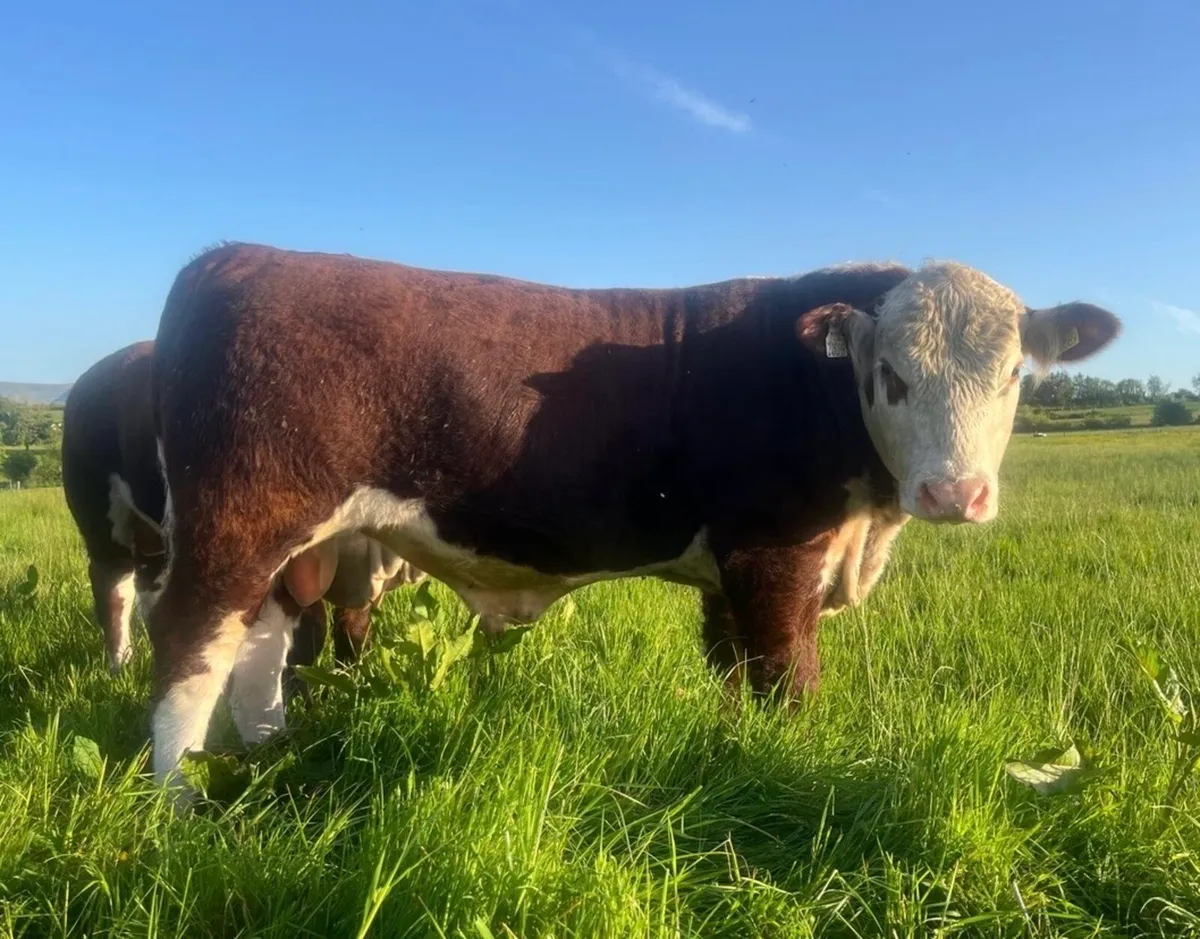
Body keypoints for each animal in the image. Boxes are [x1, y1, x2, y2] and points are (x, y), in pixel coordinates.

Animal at [60, 340, 423, 677]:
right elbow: (308, 632)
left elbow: (353, 629)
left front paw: (348, 681)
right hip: (98, 518)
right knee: (112, 589)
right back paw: (120, 665)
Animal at [146, 243, 1120, 793]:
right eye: (892, 376)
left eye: (1014, 375)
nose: (956, 494)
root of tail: (238, 255)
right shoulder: (774, 556)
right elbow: (787, 680)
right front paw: (798, 773)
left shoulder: (731, 571)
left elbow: (734, 676)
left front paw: (737, 762)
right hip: (236, 520)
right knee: (190, 648)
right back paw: (176, 802)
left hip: (294, 546)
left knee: (261, 644)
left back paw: (264, 760)